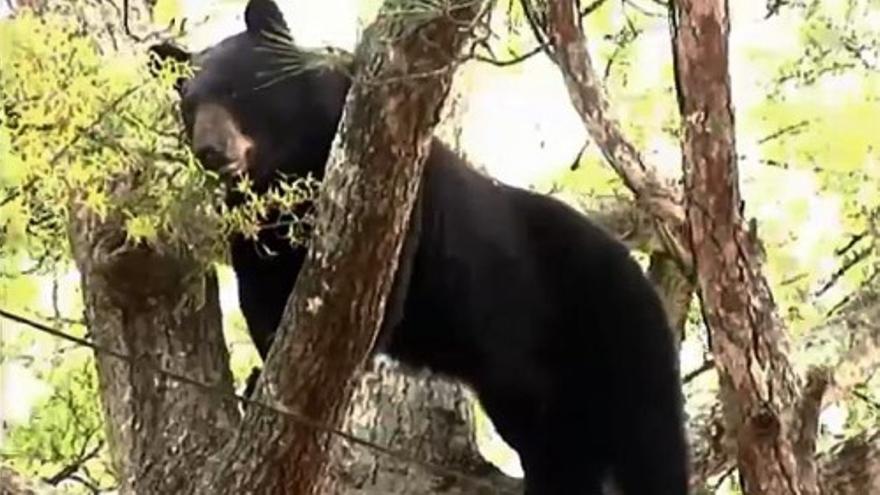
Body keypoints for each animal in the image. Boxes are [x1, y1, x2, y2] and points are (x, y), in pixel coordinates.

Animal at [150, 0, 688, 492]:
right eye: (189, 108)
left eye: (236, 89)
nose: (211, 151)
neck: (285, 166)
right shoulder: (251, 224)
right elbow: (262, 295)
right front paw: (259, 376)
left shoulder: (390, 191)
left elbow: (375, 289)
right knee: (560, 447)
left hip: (615, 328)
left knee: (650, 441)